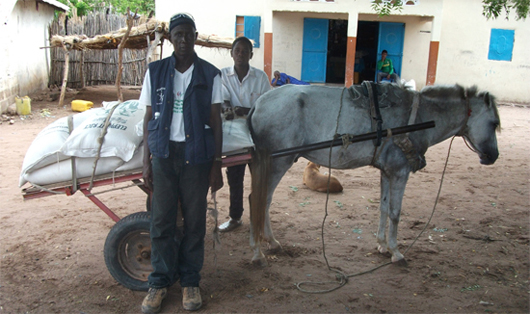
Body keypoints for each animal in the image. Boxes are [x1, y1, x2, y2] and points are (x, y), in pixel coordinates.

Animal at [245, 83, 498, 264]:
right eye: (494, 123)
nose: (493, 156)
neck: (417, 118)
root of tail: (257, 103)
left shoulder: (387, 172)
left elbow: (384, 208)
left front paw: (382, 245)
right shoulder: (400, 172)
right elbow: (395, 212)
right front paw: (396, 251)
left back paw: (269, 241)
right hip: (277, 163)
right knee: (259, 199)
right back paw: (257, 251)